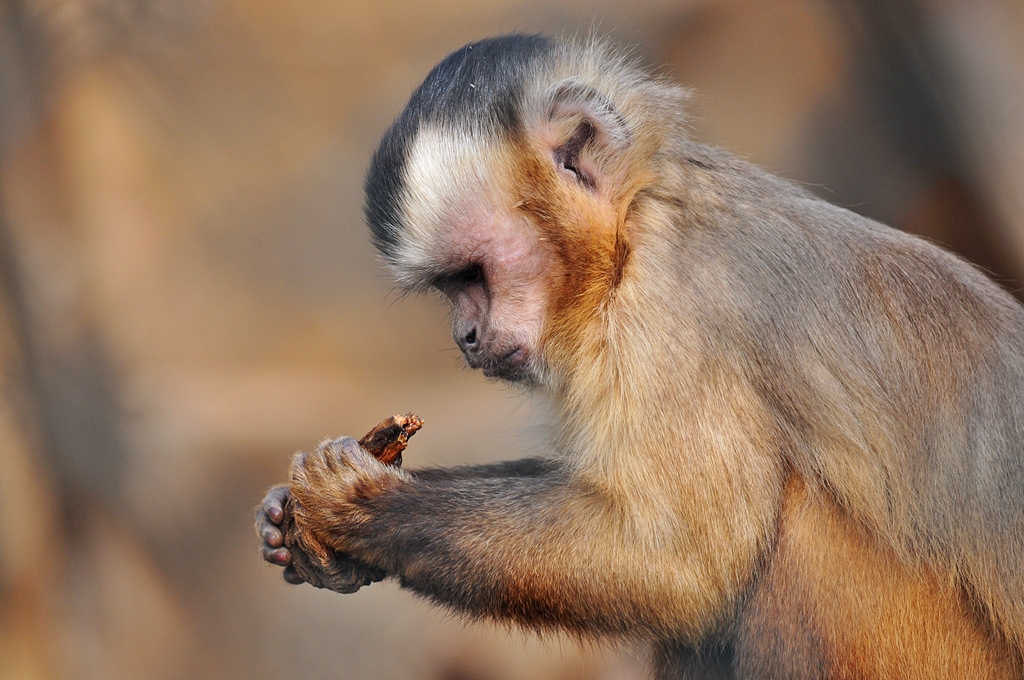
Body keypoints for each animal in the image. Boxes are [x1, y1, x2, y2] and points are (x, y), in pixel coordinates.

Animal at [255, 34, 1024, 679]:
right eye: (449, 288)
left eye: (472, 276)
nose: (463, 335)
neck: (636, 222)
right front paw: (294, 521)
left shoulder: (674, 304)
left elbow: (675, 561)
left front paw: (359, 506)